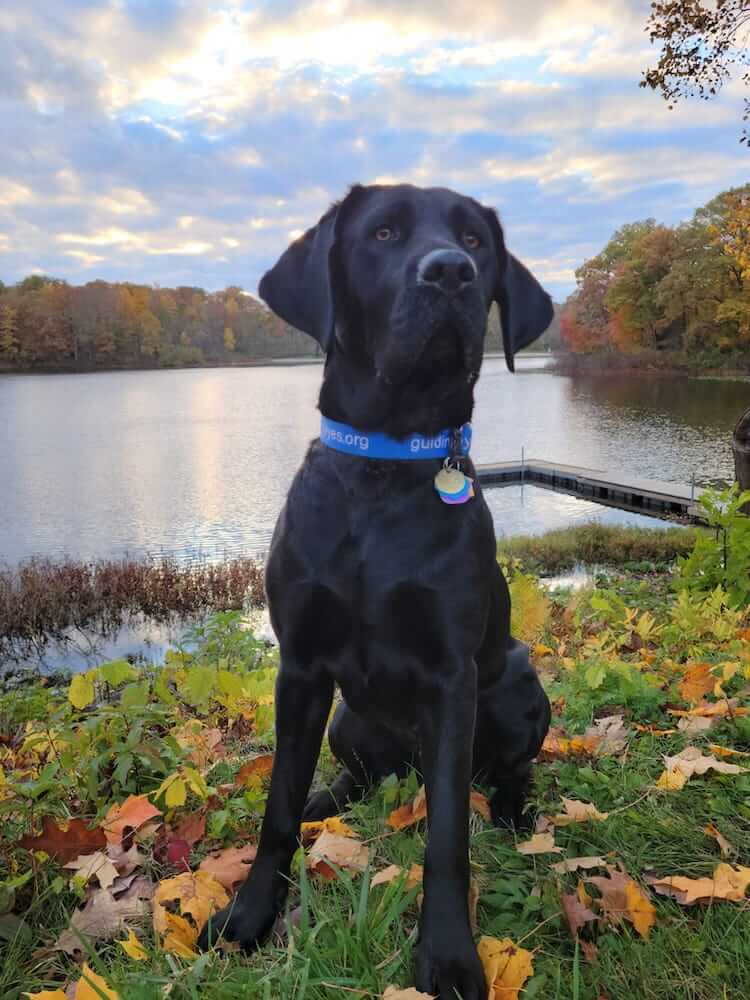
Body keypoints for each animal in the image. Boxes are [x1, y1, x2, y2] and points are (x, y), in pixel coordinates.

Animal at [200, 184, 552, 996]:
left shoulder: (453, 678)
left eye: (475, 240)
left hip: (519, 683)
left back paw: (514, 810)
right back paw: (326, 800)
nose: (450, 272)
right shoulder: (299, 668)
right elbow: (275, 810)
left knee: (507, 771)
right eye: (384, 232)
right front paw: (247, 918)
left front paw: (448, 957)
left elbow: (447, 834)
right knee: (355, 779)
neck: (383, 470)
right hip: (345, 721)